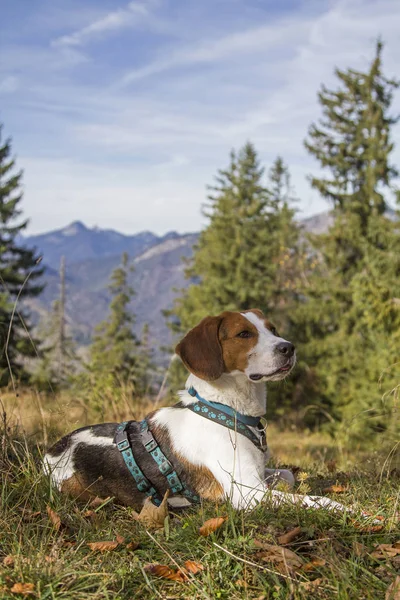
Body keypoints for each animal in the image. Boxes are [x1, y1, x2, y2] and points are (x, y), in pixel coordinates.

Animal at [44, 312, 350, 512]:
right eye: (244, 334)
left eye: (272, 329)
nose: (289, 347)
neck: (225, 409)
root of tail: (52, 451)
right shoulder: (247, 493)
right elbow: (315, 501)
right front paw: (349, 509)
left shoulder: (259, 477)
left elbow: (288, 475)